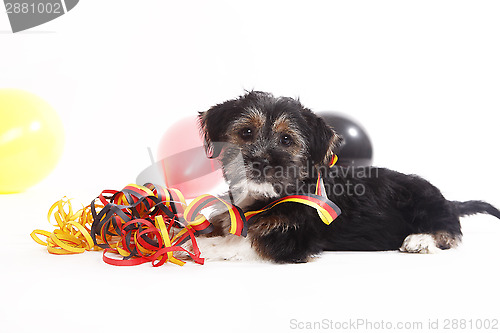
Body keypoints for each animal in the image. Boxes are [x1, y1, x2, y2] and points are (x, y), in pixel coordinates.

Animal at [195, 91, 500, 262]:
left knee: (450, 230)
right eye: (246, 132)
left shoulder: (293, 238)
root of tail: (448, 200)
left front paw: (205, 246)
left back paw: (421, 240)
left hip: (424, 200)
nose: (259, 161)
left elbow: (247, 242)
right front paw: (192, 231)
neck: (266, 197)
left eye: (286, 140)